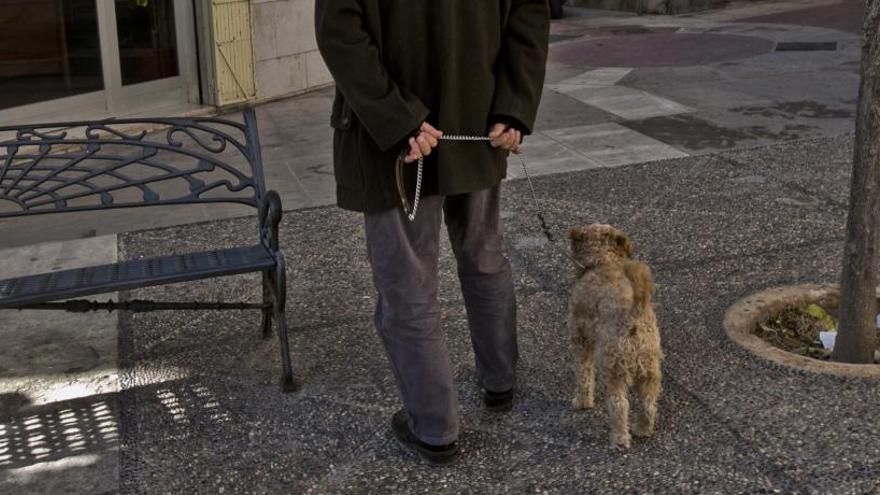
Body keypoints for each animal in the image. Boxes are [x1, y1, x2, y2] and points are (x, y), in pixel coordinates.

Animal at [572, 225, 660, 450]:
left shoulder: (581, 340)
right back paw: (643, 429)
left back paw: (619, 438)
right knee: (648, 403)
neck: (603, 261)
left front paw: (582, 402)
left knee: (619, 405)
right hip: (650, 368)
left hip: (615, 368)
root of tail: (633, 315)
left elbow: (584, 374)